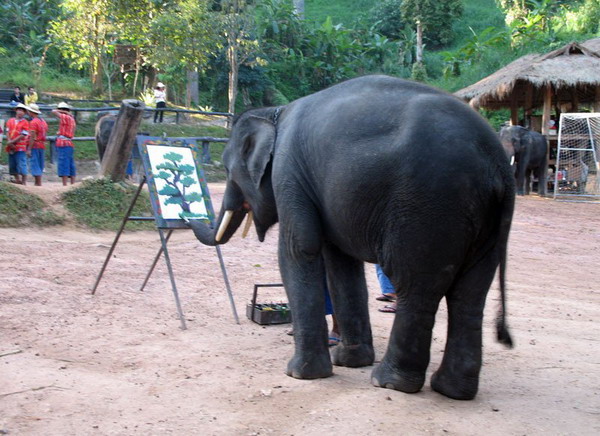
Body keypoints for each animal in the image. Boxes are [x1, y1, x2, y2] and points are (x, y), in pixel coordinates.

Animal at [188, 75, 515, 400]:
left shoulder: (289, 173)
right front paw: (348, 361)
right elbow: (341, 262)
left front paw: (301, 374)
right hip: (485, 225)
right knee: (469, 295)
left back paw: (389, 382)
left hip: (430, 205)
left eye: (228, 170)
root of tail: (499, 164)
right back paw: (452, 390)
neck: (274, 113)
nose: (189, 217)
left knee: (417, 287)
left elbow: (299, 249)